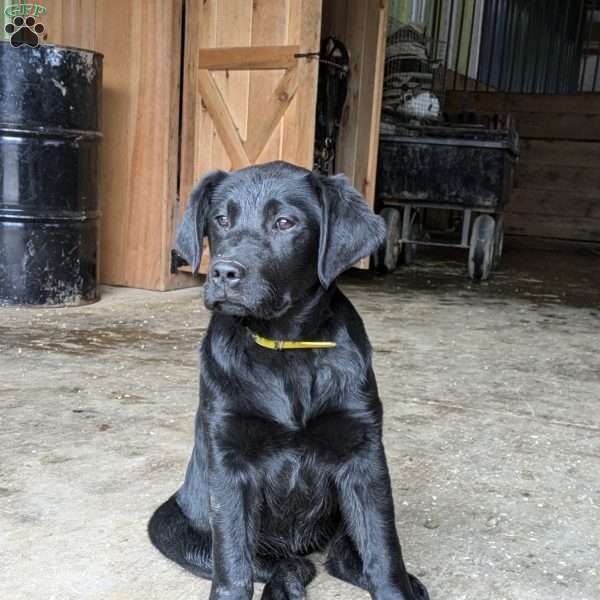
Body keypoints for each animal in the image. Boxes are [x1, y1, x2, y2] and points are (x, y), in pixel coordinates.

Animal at [150, 161, 432, 600]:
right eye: (221, 220)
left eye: (285, 222)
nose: (223, 272)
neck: (286, 348)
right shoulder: (228, 462)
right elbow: (233, 565)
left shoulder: (364, 454)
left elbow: (384, 552)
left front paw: (398, 588)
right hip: (170, 525)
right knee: (287, 563)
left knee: (339, 557)